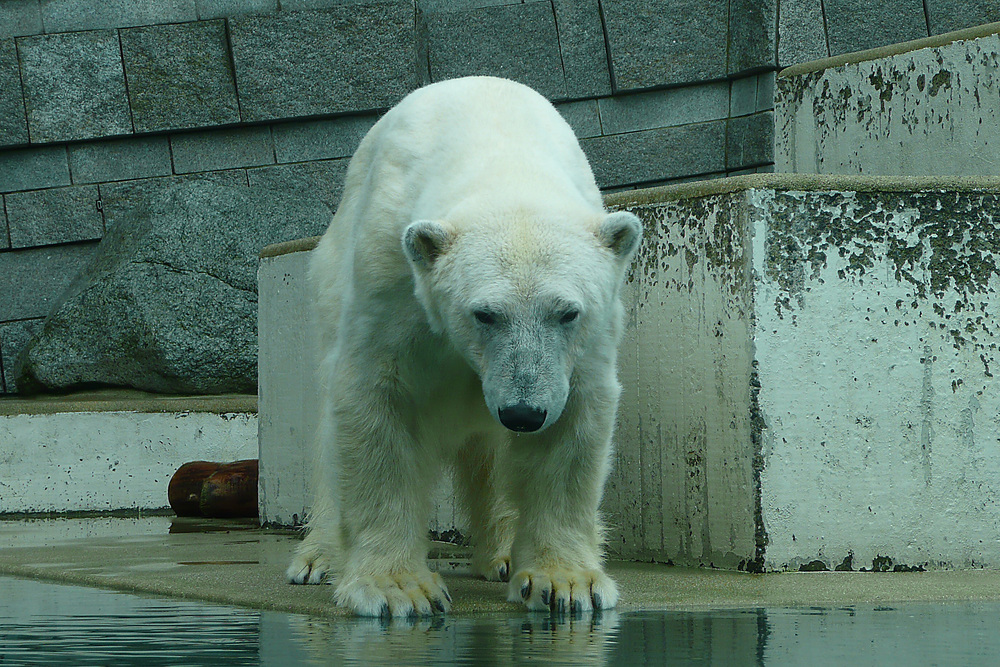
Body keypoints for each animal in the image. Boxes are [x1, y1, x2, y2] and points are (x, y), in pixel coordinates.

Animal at [286, 75, 644, 620]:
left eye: (567, 312)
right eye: (484, 313)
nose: (523, 412)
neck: (499, 153)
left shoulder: (588, 338)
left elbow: (573, 426)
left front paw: (565, 582)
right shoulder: (392, 278)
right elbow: (377, 406)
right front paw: (397, 589)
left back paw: (501, 556)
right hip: (330, 274)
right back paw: (318, 558)